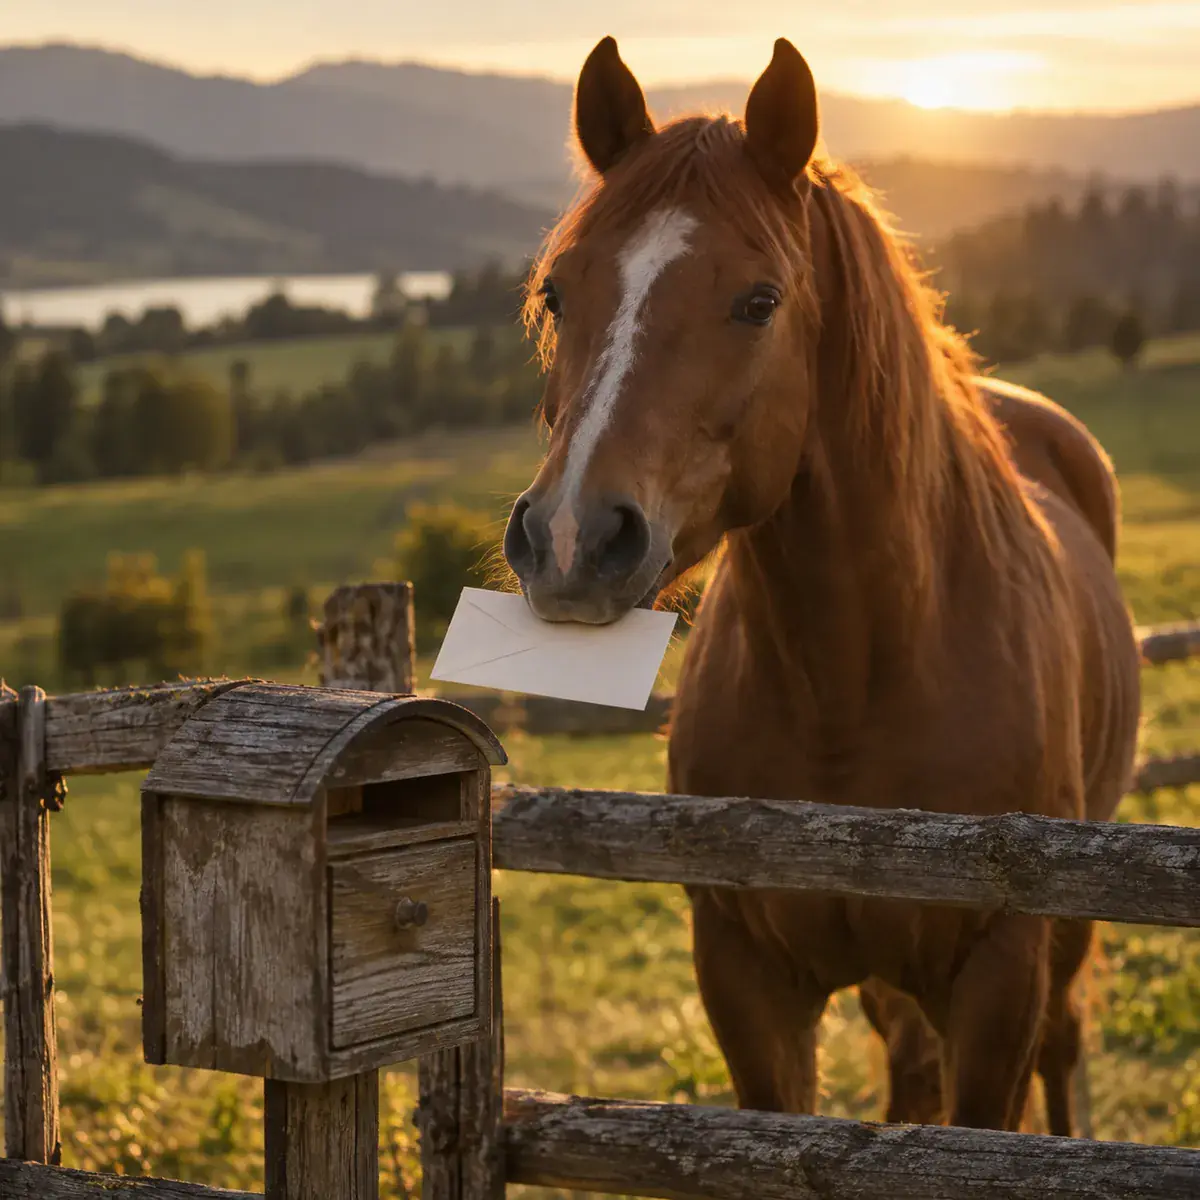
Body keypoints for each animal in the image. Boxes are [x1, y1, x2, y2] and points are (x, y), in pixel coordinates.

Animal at [502, 35, 1142, 1134]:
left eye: (759, 300)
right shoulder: (743, 976)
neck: (855, 679)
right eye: (558, 293)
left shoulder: (1001, 979)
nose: (572, 538)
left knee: (1061, 1058)